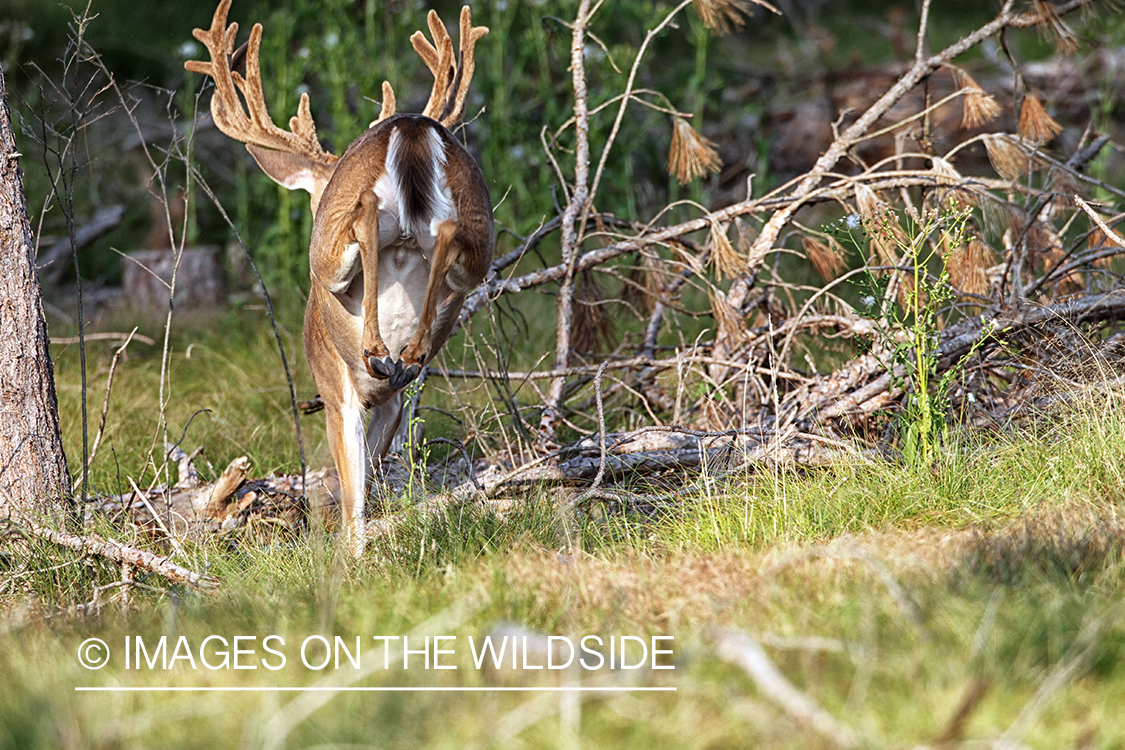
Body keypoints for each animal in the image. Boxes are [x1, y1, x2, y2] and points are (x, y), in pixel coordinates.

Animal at [186, 1, 495, 557]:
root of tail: (411, 125)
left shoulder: (334, 387)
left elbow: (353, 494)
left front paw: (350, 555)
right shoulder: (390, 405)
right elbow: (367, 476)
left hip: (331, 256)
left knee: (365, 217)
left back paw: (382, 349)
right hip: (478, 230)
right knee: (446, 234)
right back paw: (409, 352)